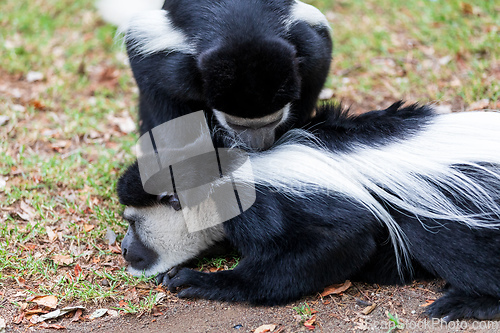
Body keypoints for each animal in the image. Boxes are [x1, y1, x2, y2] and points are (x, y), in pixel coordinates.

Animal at [104, 0, 332, 149]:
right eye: (235, 124)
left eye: (272, 121)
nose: (258, 145)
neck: (242, 34)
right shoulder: (174, 68)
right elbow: (163, 96)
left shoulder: (308, 48)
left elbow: (315, 74)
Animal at [116, 103, 500, 320]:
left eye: (133, 222)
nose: (123, 248)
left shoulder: (264, 204)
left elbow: (340, 242)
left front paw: (199, 281)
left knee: (438, 238)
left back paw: (469, 304)